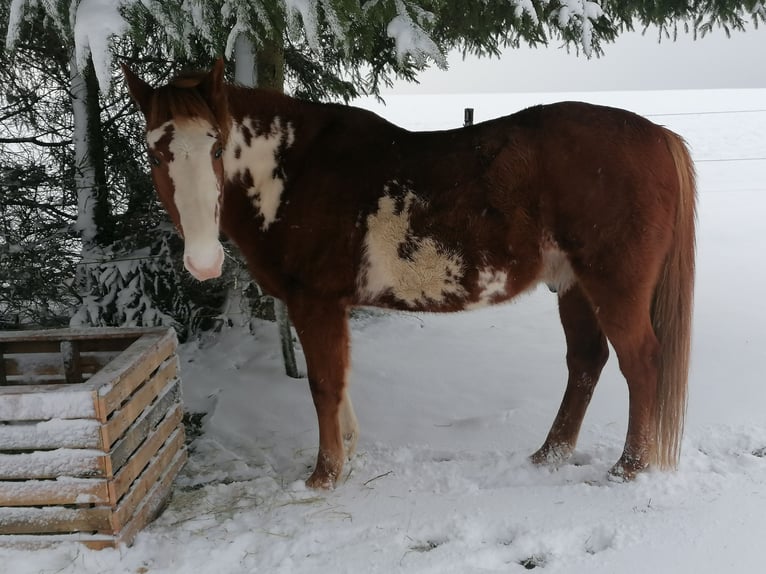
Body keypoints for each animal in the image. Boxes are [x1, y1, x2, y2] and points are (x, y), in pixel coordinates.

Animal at [123, 59, 696, 489]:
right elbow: (339, 383)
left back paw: (629, 468)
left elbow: (324, 385)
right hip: (574, 285)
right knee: (586, 362)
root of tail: (656, 134)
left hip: (614, 286)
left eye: (217, 146)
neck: (293, 171)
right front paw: (347, 458)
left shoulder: (315, 302)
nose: (203, 261)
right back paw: (548, 456)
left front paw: (323, 477)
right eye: (154, 151)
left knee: (641, 362)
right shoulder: (329, 307)